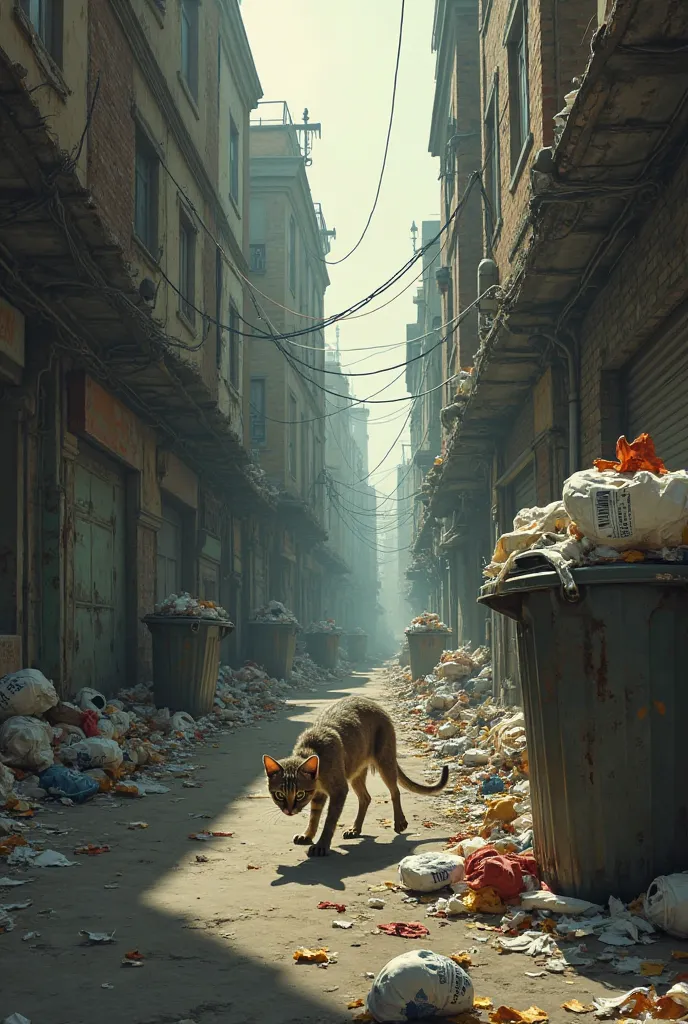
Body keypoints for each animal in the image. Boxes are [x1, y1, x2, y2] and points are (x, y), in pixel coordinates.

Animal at [261, 696, 448, 856]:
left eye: (299, 794)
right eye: (279, 794)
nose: (289, 810)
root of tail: (374, 704)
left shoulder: (339, 790)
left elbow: (329, 821)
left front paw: (321, 845)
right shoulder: (319, 793)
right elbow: (314, 816)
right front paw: (307, 835)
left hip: (384, 760)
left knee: (395, 791)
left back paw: (399, 821)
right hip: (356, 772)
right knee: (366, 797)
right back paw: (355, 829)